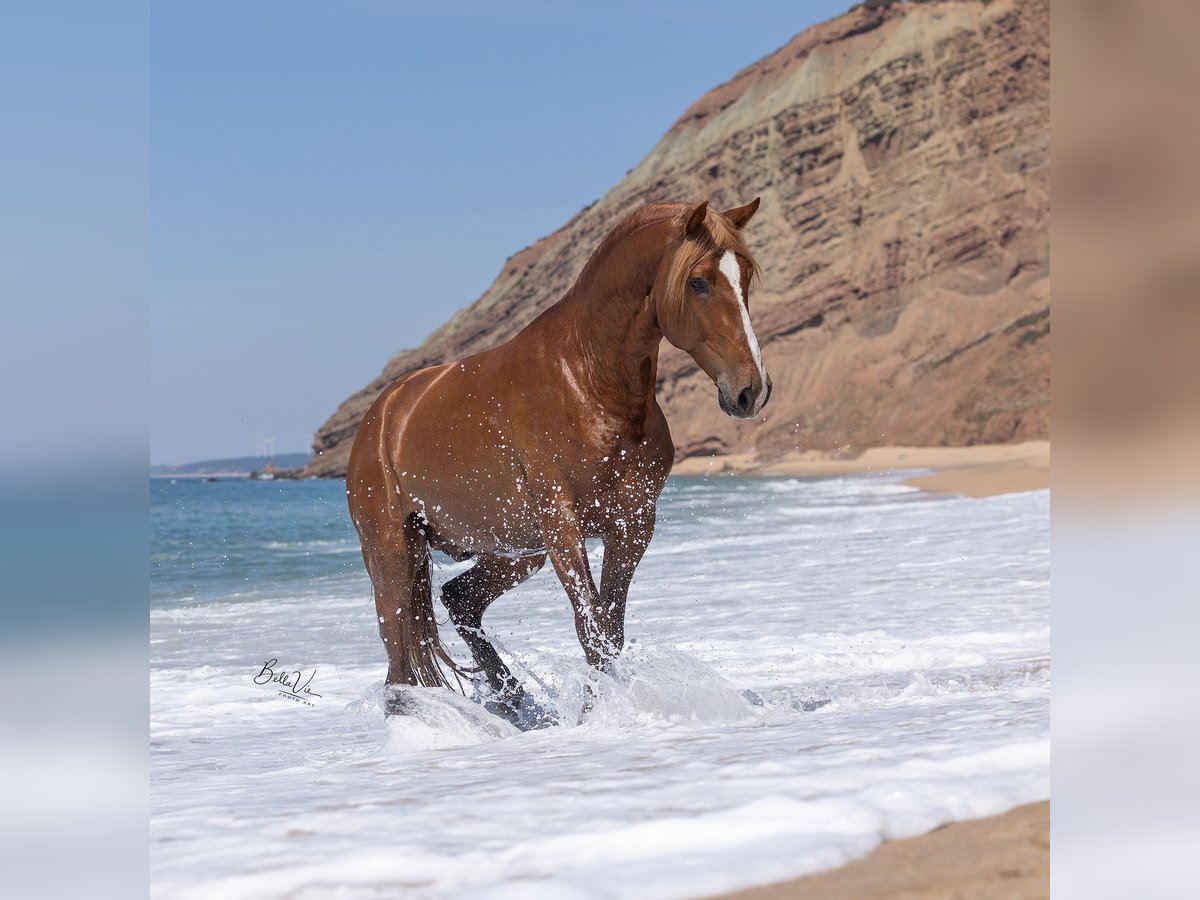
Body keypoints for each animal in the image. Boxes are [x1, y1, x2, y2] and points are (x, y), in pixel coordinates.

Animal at [350, 200, 768, 724]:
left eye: (746, 275)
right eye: (699, 282)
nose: (751, 390)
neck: (587, 382)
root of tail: (381, 415)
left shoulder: (632, 524)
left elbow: (609, 631)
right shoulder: (563, 526)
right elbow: (591, 629)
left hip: (514, 549)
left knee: (459, 602)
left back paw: (513, 701)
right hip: (392, 555)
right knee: (400, 666)